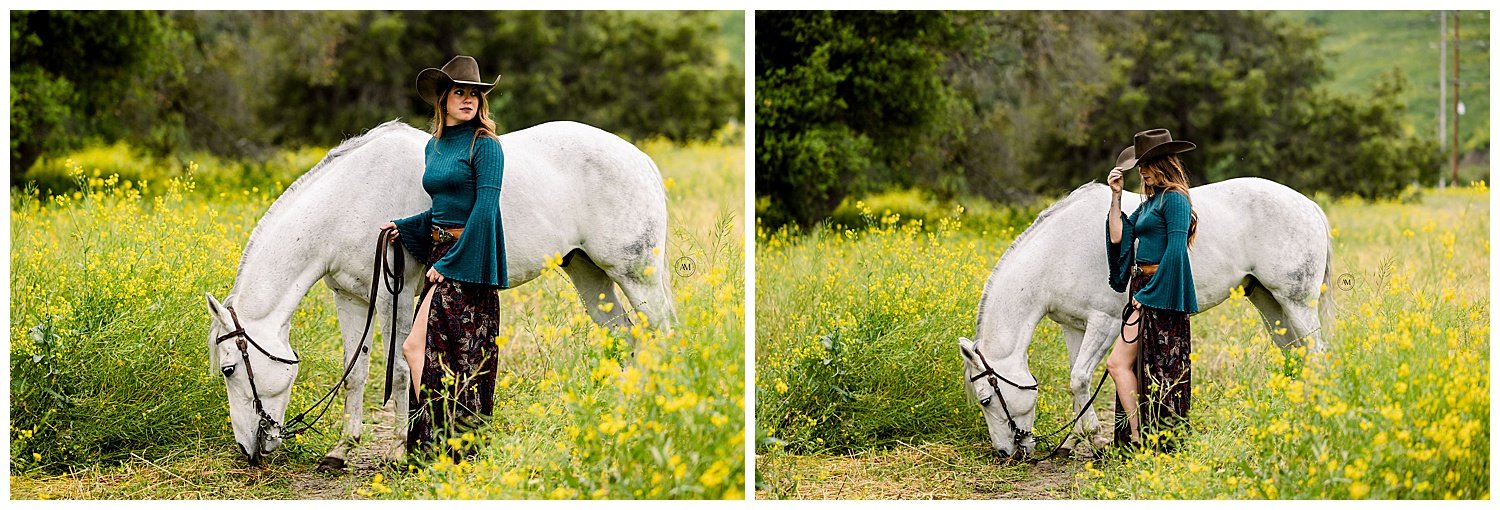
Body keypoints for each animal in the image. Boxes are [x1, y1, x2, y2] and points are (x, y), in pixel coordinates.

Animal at [208, 119, 678, 465]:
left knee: (663, 335)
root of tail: (640, 159)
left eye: (229, 369)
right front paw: (341, 450)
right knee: (626, 338)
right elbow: (354, 372)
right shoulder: (351, 299)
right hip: (588, 272)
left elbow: (399, 371)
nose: (248, 450)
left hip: (635, 274)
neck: (348, 201)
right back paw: (617, 414)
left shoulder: (392, 299)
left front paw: (399, 450)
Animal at [954, 178, 1332, 459]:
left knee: (1316, 356)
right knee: (1295, 354)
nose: (1005, 453)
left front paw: (1096, 440)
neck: (1058, 252)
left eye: (986, 399)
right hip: (1269, 302)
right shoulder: (1073, 327)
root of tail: (1309, 206)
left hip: (1295, 302)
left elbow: (1079, 379)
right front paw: (1073, 442)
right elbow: (1077, 382)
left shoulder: (1105, 323)